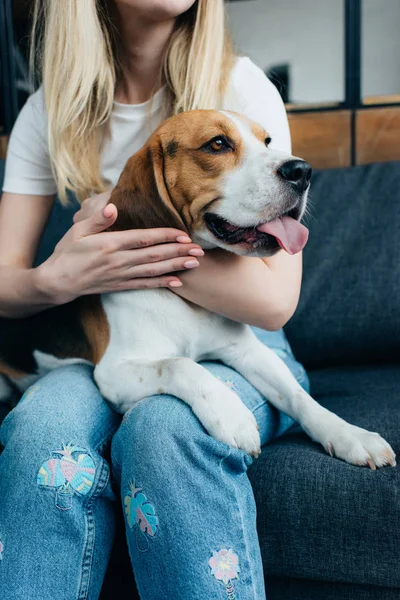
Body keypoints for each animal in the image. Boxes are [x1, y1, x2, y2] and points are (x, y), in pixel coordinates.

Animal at [0, 110, 396, 468]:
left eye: (267, 141)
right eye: (217, 144)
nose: (302, 171)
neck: (185, 304)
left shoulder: (248, 352)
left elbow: (299, 396)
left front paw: (347, 434)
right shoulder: (113, 372)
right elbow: (181, 365)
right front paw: (232, 417)